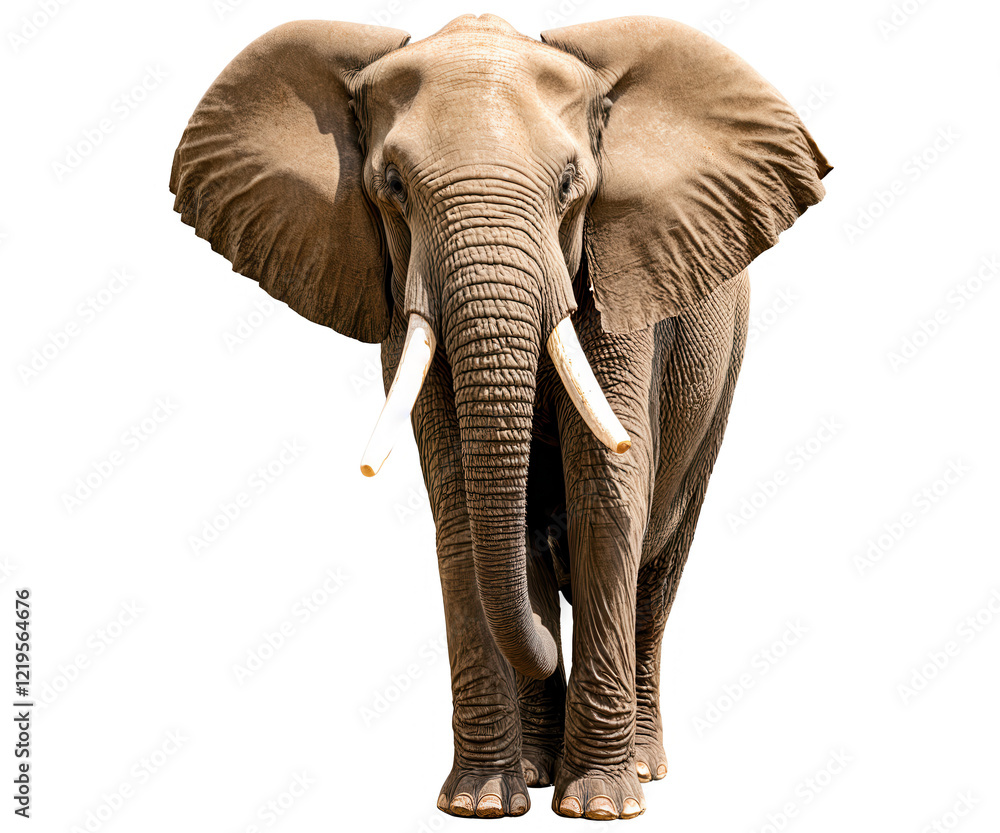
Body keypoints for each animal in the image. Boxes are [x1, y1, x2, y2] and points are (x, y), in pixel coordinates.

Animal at [169, 14, 830, 820]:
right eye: (392, 187)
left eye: (572, 185)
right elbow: (458, 502)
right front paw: (480, 803)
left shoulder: (617, 280)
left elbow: (608, 492)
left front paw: (600, 808)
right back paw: (540, 766)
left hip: (724, 369)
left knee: (660, 560)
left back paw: (641, 770)